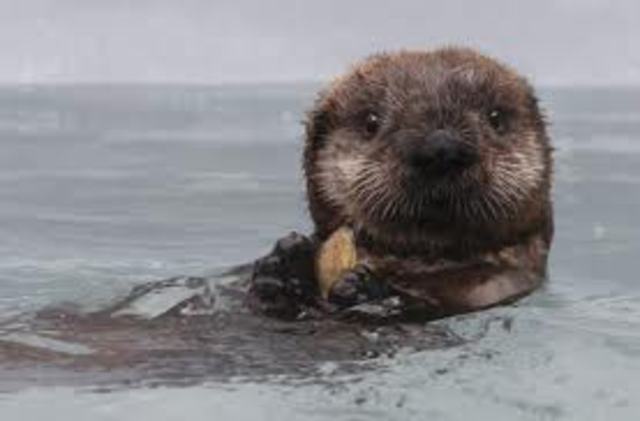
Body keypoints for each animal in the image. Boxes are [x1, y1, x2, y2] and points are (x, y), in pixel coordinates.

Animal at [249, 47, 553, 321]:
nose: (441, 147)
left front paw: (364, 290)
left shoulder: (491, 286)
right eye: (371, 121)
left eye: (495, 117)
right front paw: (284, 262)